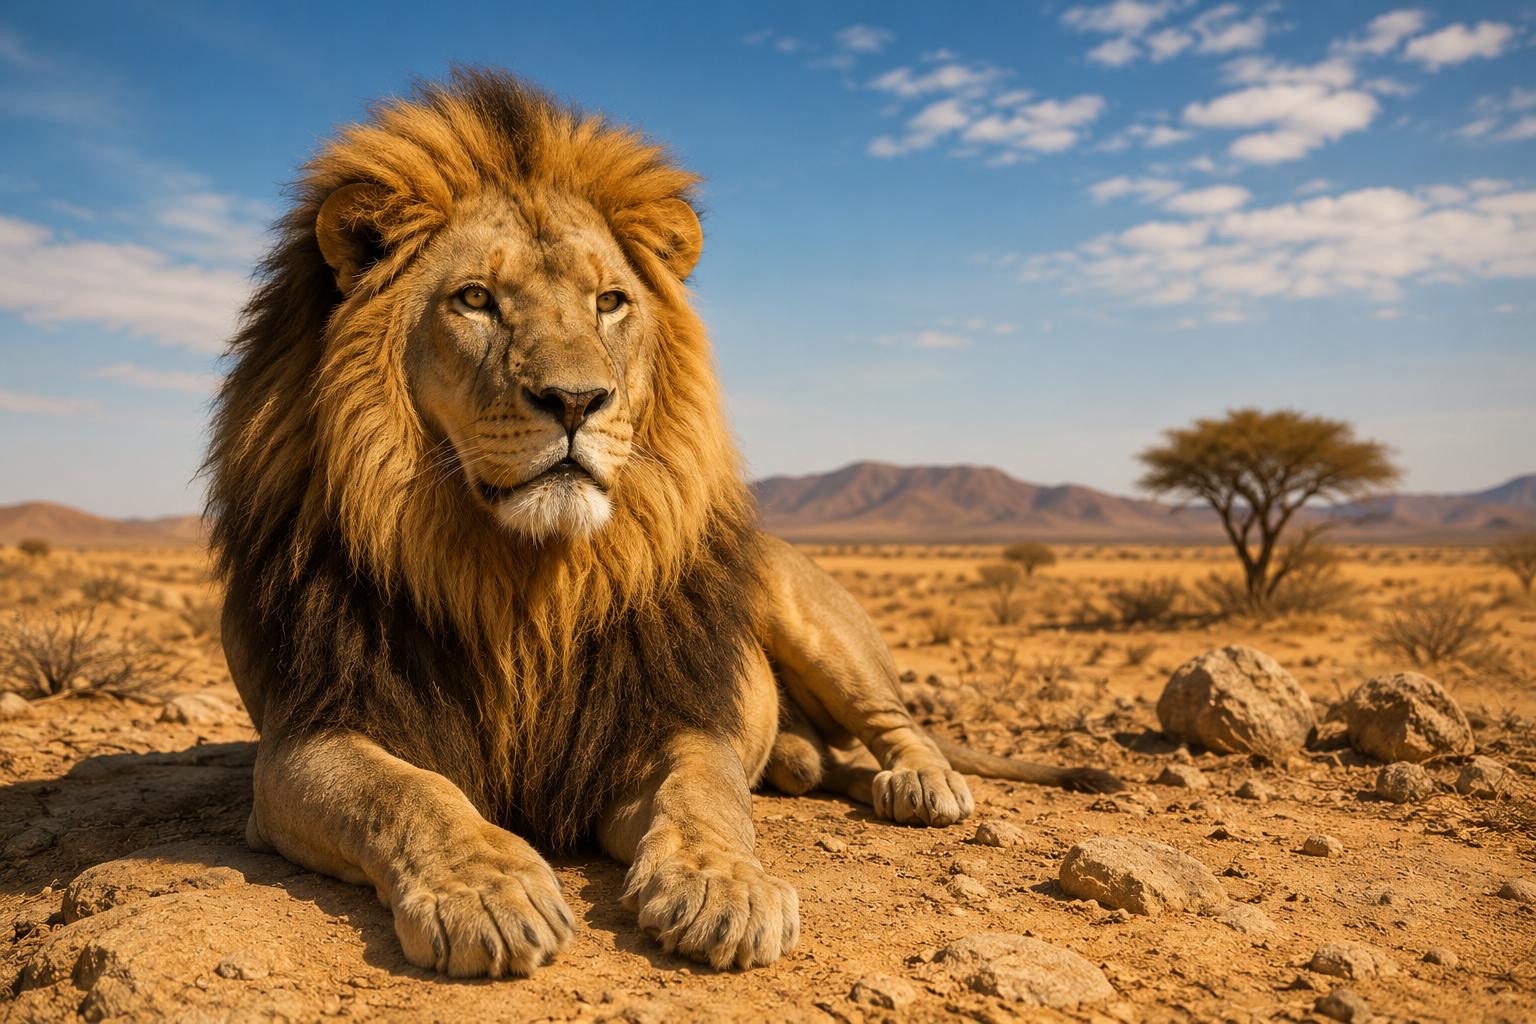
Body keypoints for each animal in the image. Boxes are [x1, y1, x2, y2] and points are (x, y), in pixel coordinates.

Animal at [207, 69, 1119, 978]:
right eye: (475, 300)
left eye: (610, 302)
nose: (576, 400)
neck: (525, 586)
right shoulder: (301, 741)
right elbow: (408, 794)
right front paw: (489, 892)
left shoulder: (664, 720)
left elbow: (705, 796)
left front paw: (725, 890)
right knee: (823, 765)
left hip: (811, 620)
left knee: (898, 723)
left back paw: (922, 786)